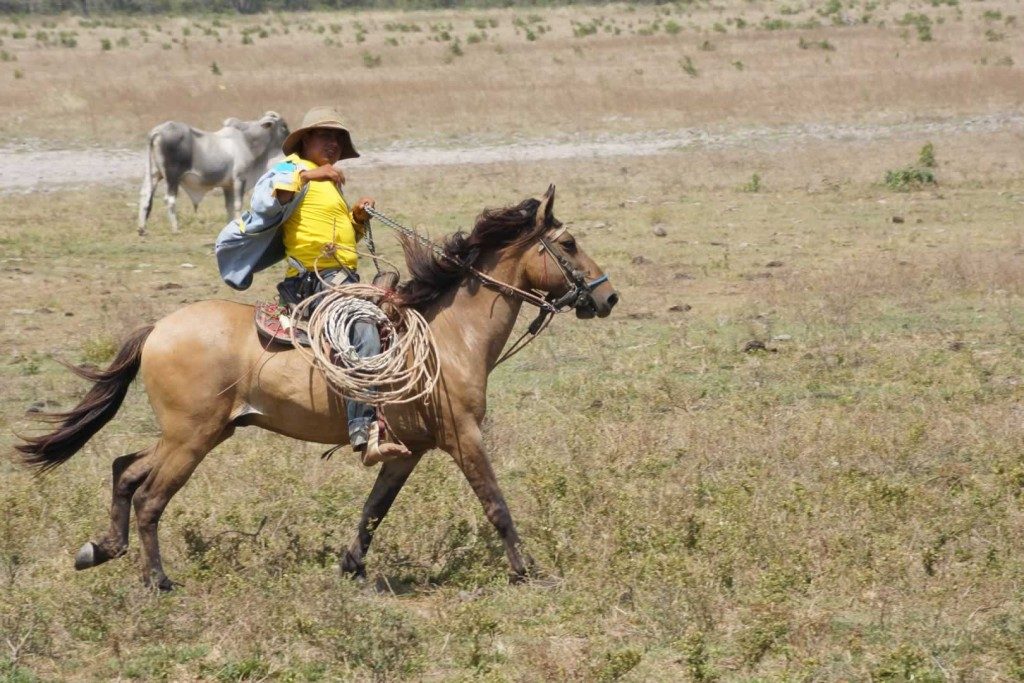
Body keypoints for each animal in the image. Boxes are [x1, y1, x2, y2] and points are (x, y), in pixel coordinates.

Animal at [18, 184, 614, 589]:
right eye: (569, 243)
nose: (608, 297)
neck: (449, 336)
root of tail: (159, 329)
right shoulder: (463, 437)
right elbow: (496, 505)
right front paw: (528, 572)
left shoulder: (407, 450)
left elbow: (374, 511)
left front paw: (350, 567)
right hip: (193, 437)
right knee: (148, 495)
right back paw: (158, 581)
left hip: (194, 433)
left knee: (124, 469)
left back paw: (101, 550)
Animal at [136, 112, 288, 237]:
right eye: (284, 127)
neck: (247, 140)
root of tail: (157, 131)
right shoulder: (240, 179)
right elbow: (238, 205)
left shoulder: (228, 186)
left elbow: (229, 207)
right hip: (172, 176)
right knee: (170, 199)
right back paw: (175, 228)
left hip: (154, 174)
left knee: (145, 195)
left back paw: (142, 228)